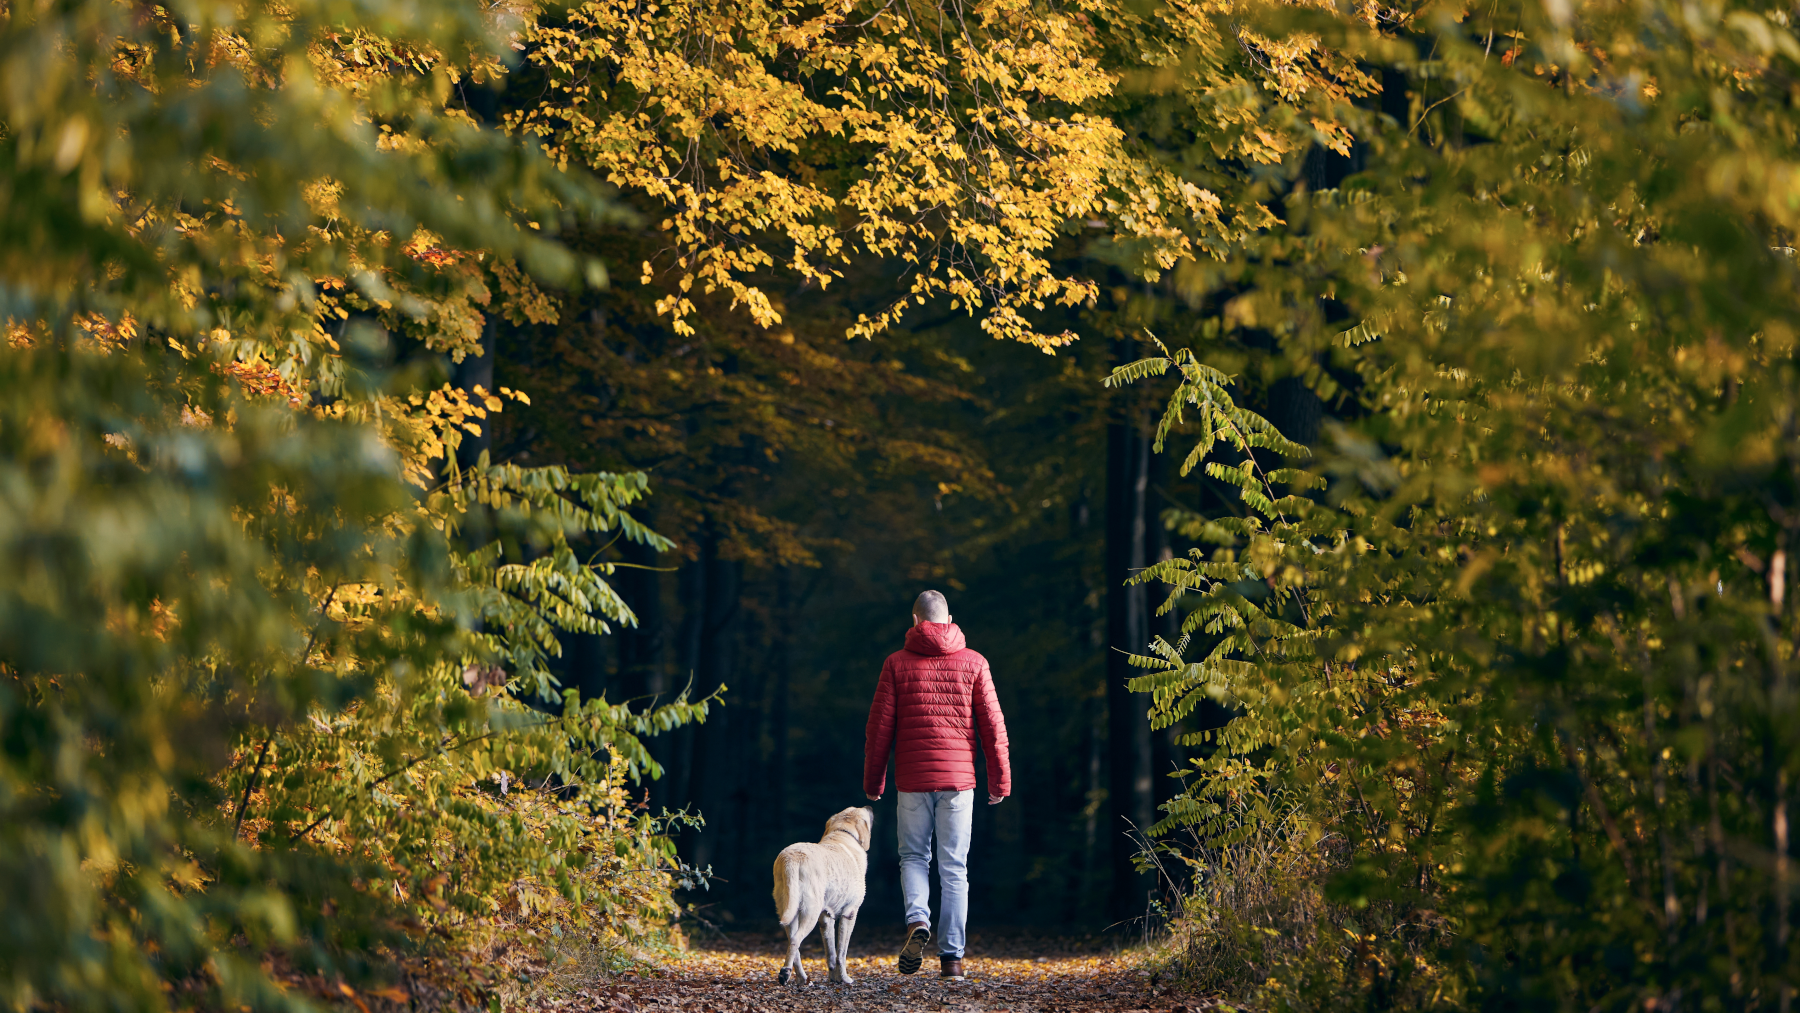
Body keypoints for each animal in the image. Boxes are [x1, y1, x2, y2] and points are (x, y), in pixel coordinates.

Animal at [770, 806, 874, 986]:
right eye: (861, 810)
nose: (870, 806)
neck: (843, 833)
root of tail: (791, 859)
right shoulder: (849, 913)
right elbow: (841, 953)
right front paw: (845, 979)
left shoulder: (826, 917)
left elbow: (831, 953)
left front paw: (834, 978)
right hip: (810, 912)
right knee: (796, 940)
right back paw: (785, 973)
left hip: (789, 911)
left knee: (793, 943)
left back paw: (801, 978)